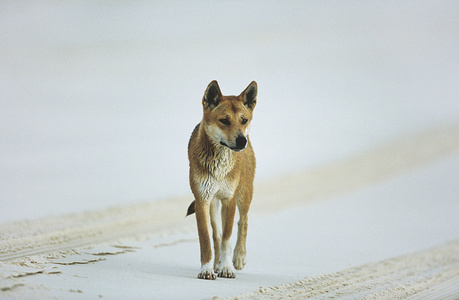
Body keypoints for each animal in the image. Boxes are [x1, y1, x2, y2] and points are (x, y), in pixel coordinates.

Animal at [187, 79, 258, 278]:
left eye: (243, 120)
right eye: (224, 120)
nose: (242, 141)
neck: (219, 165)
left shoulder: (229, 199)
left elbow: (228, 238)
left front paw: (227, 267)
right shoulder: (202, 200)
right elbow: (207, 239)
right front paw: (207, 269)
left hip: (244, 194)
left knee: (243, 221)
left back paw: (239, 257)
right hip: (213, 203)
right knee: (216, 234)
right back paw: (216, 264)